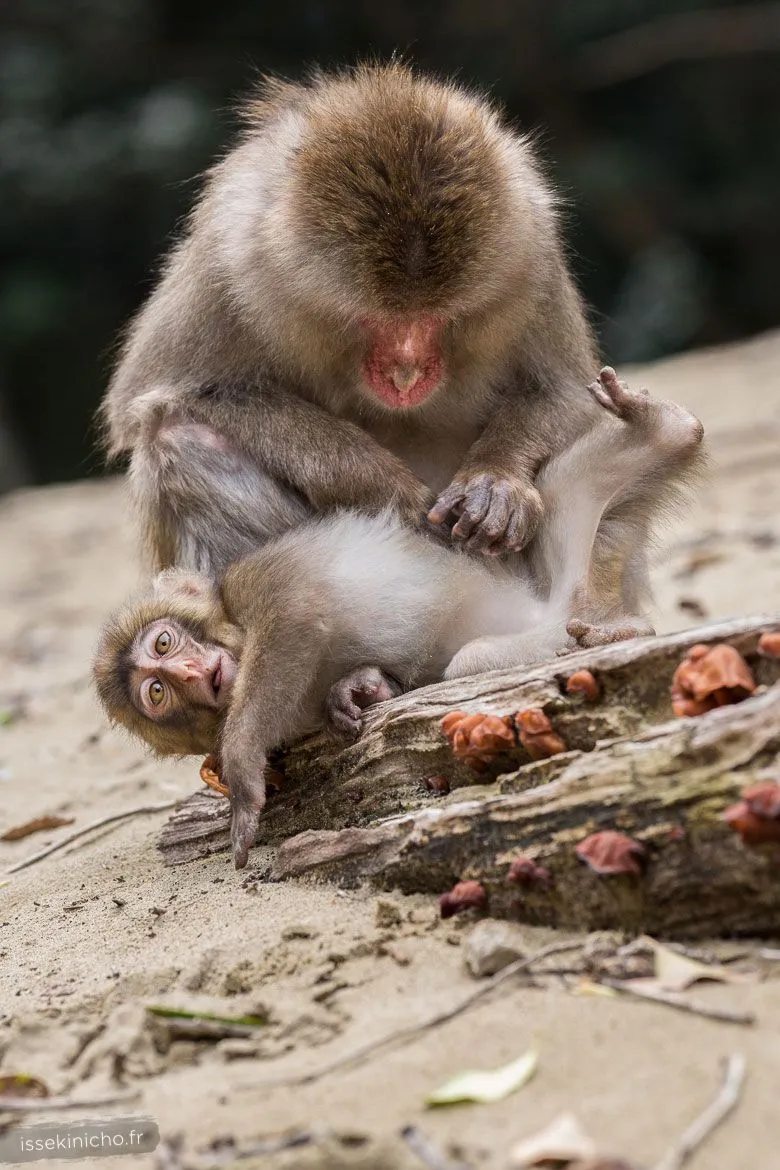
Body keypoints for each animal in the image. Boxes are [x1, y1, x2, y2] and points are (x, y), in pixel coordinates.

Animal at [94, 373, 704, 867]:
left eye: (165, 644)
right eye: (157, 693)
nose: (190, 674)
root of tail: (577, 604)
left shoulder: (252, 580)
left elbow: (295, 611)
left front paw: (241, 770)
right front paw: (359, 689)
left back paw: (661, 427)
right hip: (567, 587)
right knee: (473, 659)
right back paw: (617, 628)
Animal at [100, 61, 703, 649]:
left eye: (436, 318)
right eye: (376, 321)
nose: (406, 372)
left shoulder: (532, 249)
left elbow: (562, 388)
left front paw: (498, 484)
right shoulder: (227, 257)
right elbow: (166, 394)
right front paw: (382, 486)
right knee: (181, 440)